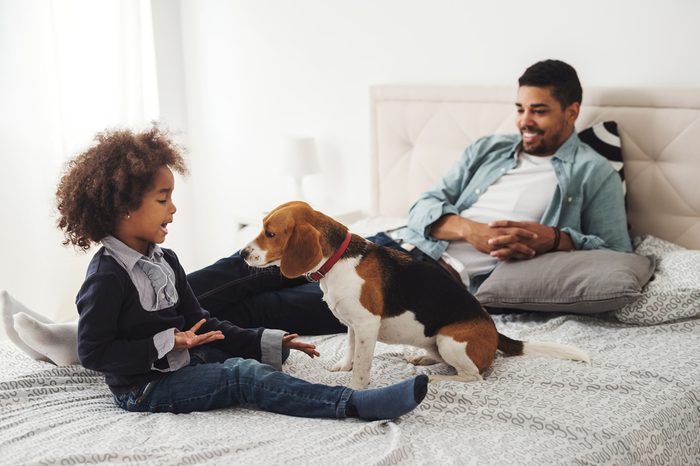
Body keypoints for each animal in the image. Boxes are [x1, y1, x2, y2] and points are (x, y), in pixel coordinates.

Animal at [242, 201, 592, 390]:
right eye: (259, 227)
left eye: (270, 233)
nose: (244, 254)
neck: (337, 260)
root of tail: (495, 333)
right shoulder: (353, 325)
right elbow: (351, 350)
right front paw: (343, 366)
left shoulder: (367, 325)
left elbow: (363, 365)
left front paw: (355, 388)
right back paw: (424, 359)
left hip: (451, 340)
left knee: (473, 376)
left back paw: (438, 380)